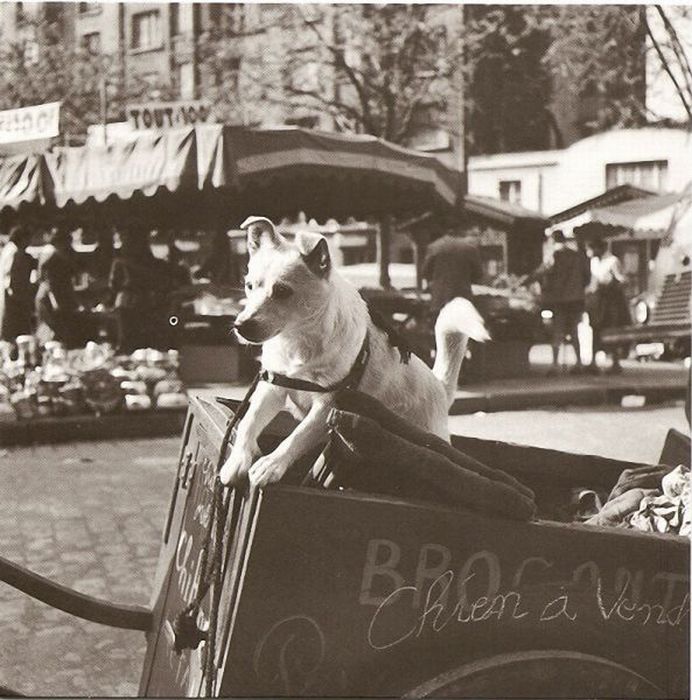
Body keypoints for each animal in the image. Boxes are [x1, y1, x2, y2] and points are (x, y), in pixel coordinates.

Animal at [219, 216, 490, 490]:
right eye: (248, 286)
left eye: (282, 291)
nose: (240, 325)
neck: (298, 340)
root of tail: (440, 387)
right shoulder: (272, 387)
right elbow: (249, 421)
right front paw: (237, 461)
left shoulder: (330, 404)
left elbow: (298, 436)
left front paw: (271, 465)